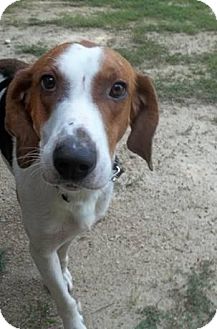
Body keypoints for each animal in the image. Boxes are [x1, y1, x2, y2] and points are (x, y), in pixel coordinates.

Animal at [0, 41, 159, 328]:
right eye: (48, 81)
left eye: (118, 88)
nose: (73, 160)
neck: (73, 197)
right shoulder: (39, 248)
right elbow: (64, 300)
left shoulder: (72, 230)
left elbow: (63, 254)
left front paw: (63, 275)